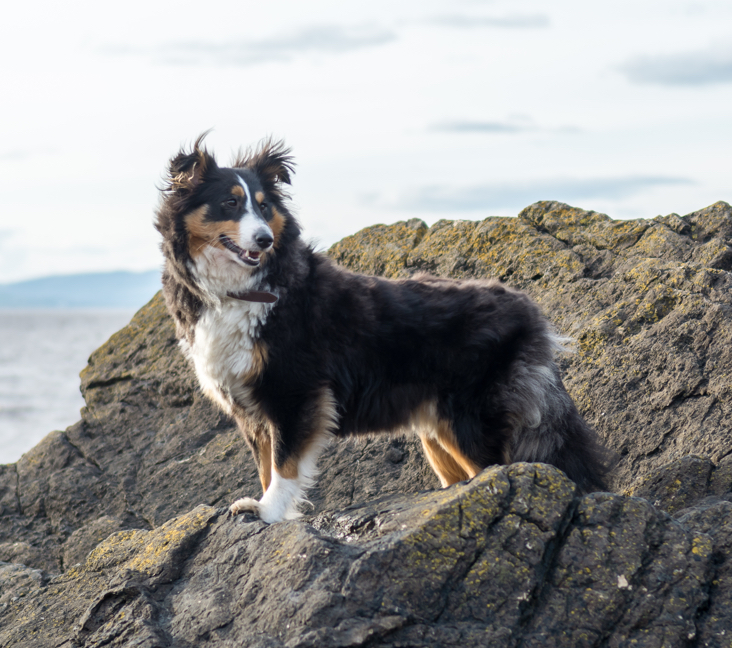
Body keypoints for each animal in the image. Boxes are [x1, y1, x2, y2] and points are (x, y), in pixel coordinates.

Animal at [156, 135, 612, 520]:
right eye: (230, 204)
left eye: (265, 207)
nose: (265, 239)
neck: (243, 290)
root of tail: (529, 308)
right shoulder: (252, 408)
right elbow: (266, 465)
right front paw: (273, 511)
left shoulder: (295, 391)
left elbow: (283, 465)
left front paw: (268, 512)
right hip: (439, 429)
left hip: (472, 419)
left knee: (505, 469)